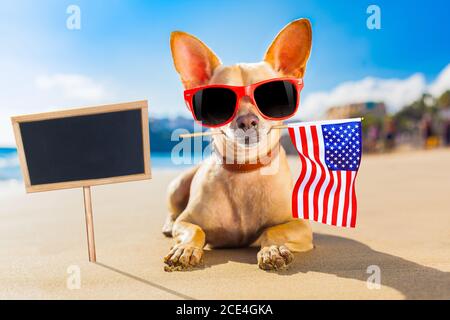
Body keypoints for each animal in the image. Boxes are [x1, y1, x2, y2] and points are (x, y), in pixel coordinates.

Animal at [163, 18, 314, 272]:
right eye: (218, 102)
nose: (247, 120)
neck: (245, 168)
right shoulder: (187, 221)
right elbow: (196, 229)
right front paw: (185, 249)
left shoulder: (301, 226)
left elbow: (273, 231)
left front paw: (272, 249)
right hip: (177, 185)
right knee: (173, 212)